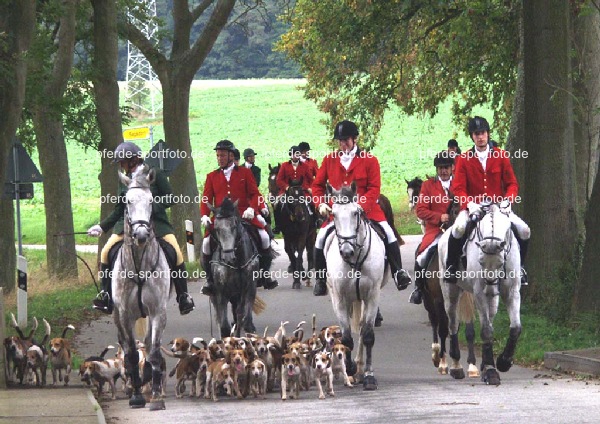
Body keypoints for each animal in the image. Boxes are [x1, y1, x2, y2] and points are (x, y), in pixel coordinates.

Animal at [324, 184, 390, 390]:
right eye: (333, 214)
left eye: (356, 213)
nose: (346, 251)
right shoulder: (340, 298)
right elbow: (345, 338)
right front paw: (350, 367)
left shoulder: (372, 296)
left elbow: (367, 335)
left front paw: (368, 376)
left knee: (361, 328)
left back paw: (360, 369)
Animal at [438, 204, 524, 386]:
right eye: (481, 261)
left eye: (500, 262)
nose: (490, 285)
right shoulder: (479, 293)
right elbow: (486, 330)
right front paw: (491, 371)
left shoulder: (512, 291)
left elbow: (515, 328)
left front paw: (503, 362)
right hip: (450, 292)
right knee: (453, 324)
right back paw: (456, 367)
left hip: (493, 300)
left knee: (490, 318)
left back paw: (484, 363)